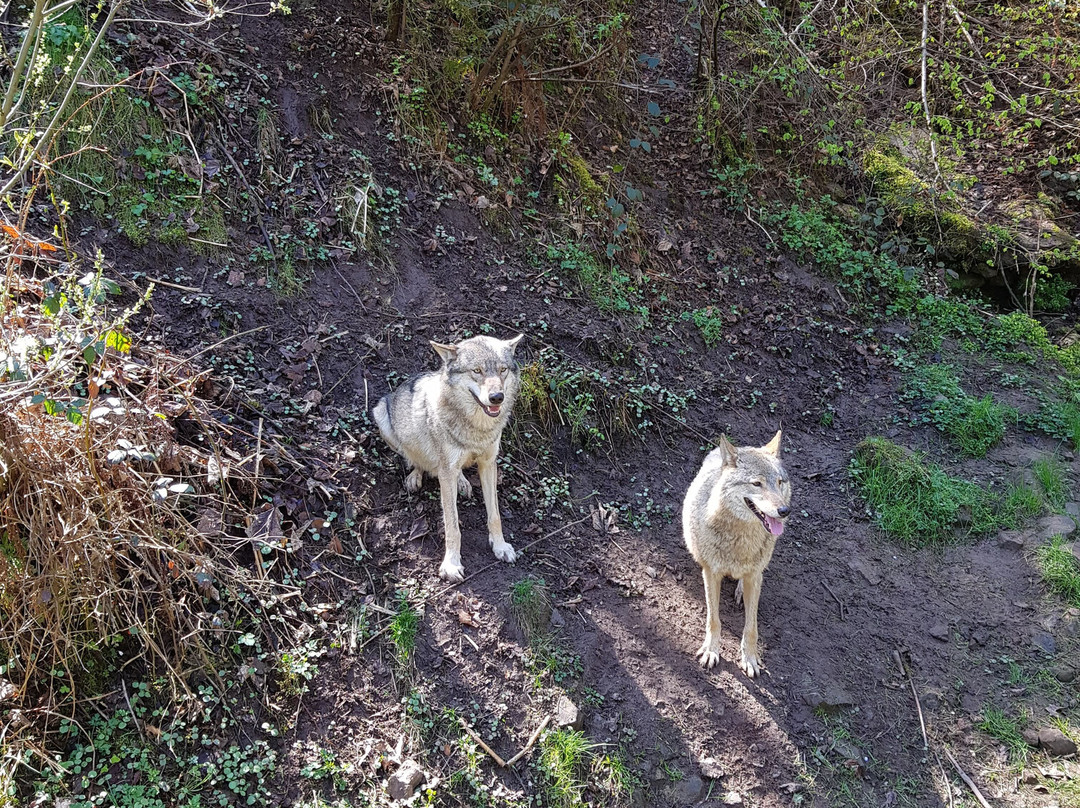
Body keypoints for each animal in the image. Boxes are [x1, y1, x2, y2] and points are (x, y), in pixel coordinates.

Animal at [373, 334, 524, 582]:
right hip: (382, 417)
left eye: (502, 370)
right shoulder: (446, 472)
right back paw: (415, 477)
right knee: (417, 462)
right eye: (477, 371)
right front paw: (451, 565)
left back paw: (462, 482)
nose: (497, 397)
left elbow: (495, 516)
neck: (477, 430)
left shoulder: (488, 463)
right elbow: (453, 526)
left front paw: (500, 547)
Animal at [683, 431, 791, 677]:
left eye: (779, 482)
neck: (741, 543)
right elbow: (714, 620)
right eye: (757, 484)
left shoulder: (754, 576)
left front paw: (750, 659)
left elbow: (751, 628)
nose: (784, 511)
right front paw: (711, 651)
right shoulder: (711, 573)